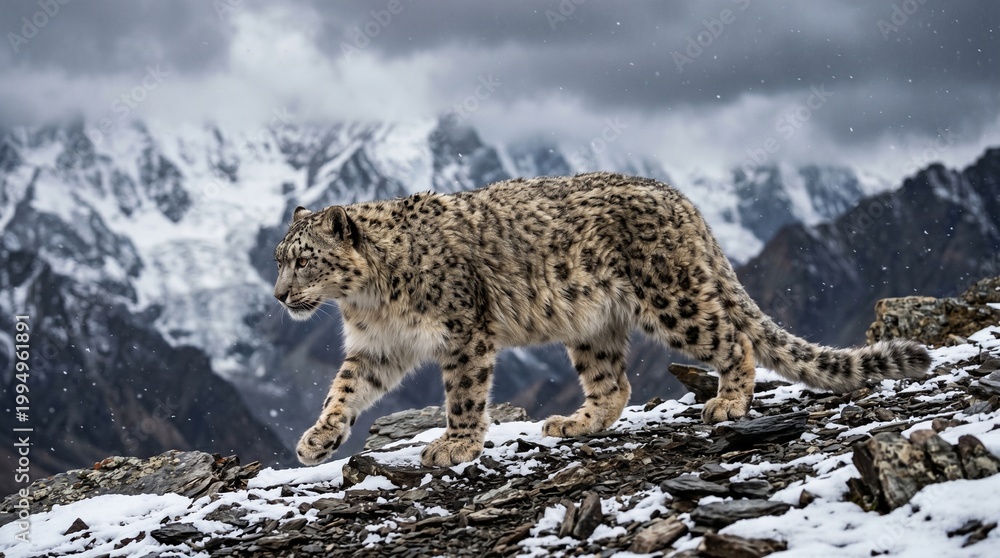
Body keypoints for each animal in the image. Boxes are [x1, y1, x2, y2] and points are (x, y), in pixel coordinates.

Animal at [273, 172, 931, 467]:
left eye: (303, 260)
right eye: (279, 259)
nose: (279, 296)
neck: (369, 301)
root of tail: (683, 201)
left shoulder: (462, 331)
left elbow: (462, 393)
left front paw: (455, 444)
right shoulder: (376, 347)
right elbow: (344, 390)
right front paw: (318, 438)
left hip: (673, 301)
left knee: (734, 339)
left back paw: (727, 403)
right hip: (592, 327)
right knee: (615, 383)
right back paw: (575, 423)